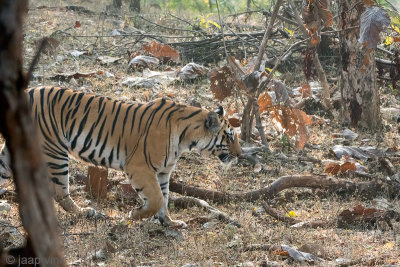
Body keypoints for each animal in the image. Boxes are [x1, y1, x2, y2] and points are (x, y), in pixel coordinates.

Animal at [0, 87, 241, 229]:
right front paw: (136, 214)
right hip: (55, 151)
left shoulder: (163, 172)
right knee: (59, 192)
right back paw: (86, 213)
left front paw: (170, 222)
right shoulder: (139, 167)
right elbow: (156, 198)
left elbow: (165, 198)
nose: (239, 155)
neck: (186, 139)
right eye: (230, 137)